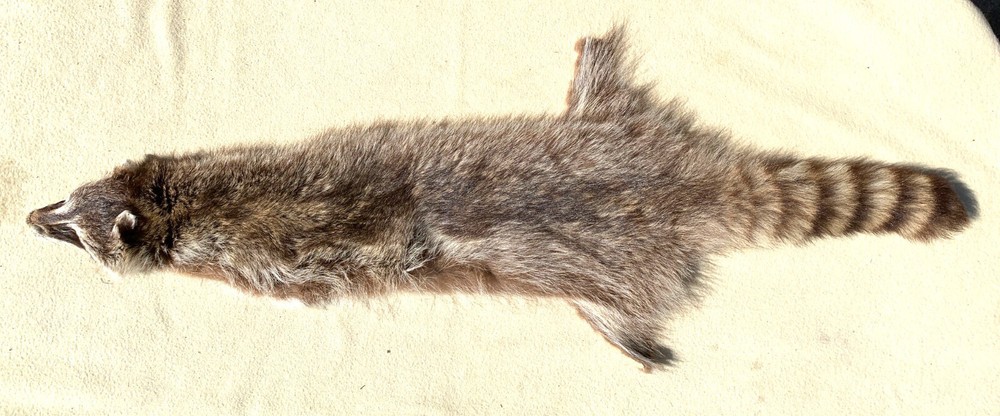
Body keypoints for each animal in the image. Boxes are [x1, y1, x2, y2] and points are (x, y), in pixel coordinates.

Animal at [26, 26, 973, 371]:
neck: (179, 205)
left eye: (77, 235)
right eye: (66, 205)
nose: (31, 217)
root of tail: (690, 178)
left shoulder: (275, 250)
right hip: (623, 130)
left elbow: (304, 279)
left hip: (625, 263)